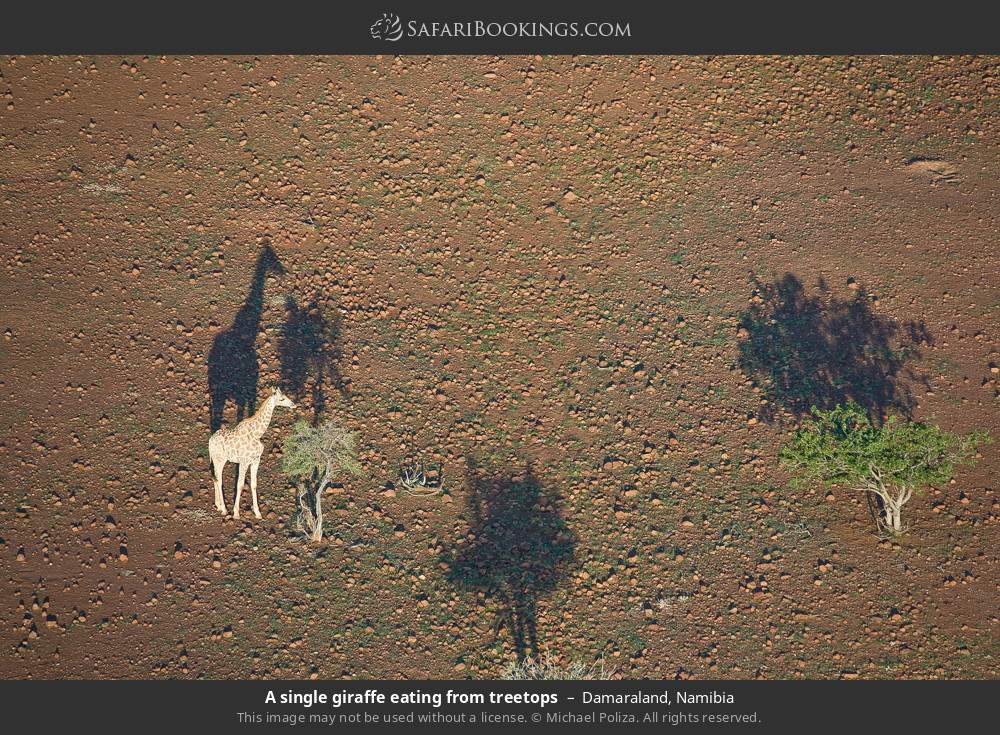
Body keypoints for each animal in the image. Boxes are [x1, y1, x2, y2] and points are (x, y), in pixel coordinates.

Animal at [208, 387, 296, 519]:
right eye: (282, 399)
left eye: (285, 396)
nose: (293, 404)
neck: (257, 434)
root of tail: (210, 441)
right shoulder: (244, 462)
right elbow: (239, 485)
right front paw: (236, 513)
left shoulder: (256, 460)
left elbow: (254, 484)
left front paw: (258, 513)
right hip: (220, 460)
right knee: (219, 480)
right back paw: (224, 509)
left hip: (215, 460)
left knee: (215, 478)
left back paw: (218, 505)